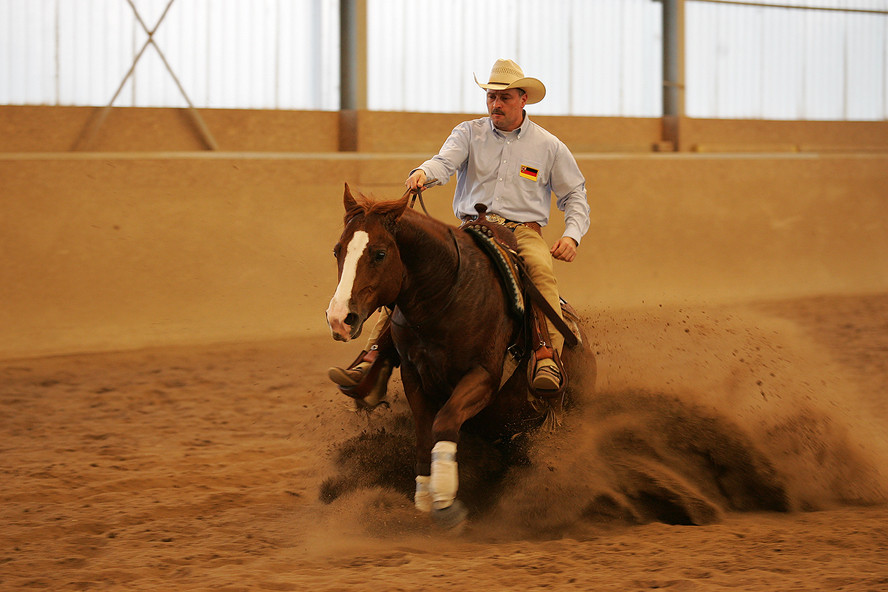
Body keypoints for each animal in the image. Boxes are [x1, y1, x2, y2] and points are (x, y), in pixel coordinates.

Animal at [324, 185, 596, 528]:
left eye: (380, 253)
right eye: (338, 250)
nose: (339, 318)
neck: (447, 297)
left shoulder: (483, 377)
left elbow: (445, 420)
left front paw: (444, 500)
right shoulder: (413, 376)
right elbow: (424, 433)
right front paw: (424, 497)